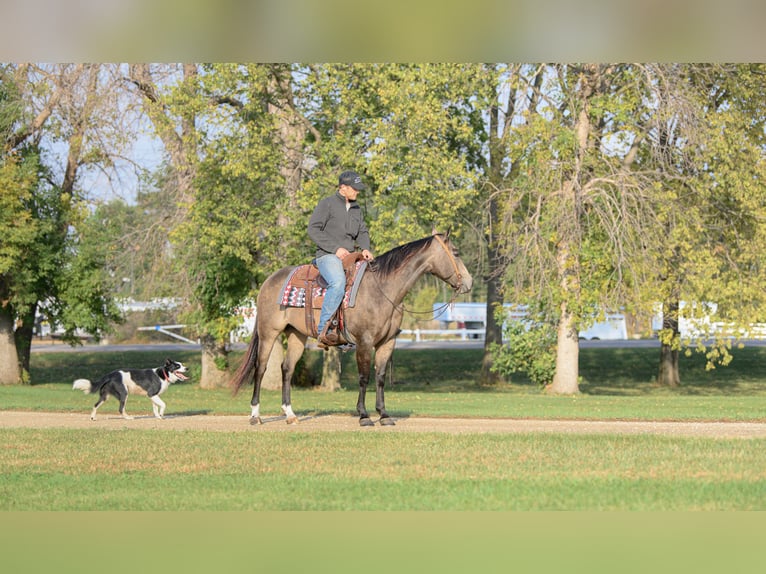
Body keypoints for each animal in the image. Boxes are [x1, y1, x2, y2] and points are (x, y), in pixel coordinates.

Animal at [229, 233, 473, 427]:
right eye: (456, 252)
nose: (469, 283)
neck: (382, 289)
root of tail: (269, 280)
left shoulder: (387, 343)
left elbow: (380, 377)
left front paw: (384, 415)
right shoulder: (364, 341)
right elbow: (364, 377)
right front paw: (364, 415)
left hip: (296, 335)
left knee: (287, 369)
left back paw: (290, 414)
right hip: (268, 333)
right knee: (260, 369)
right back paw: (255, 416)